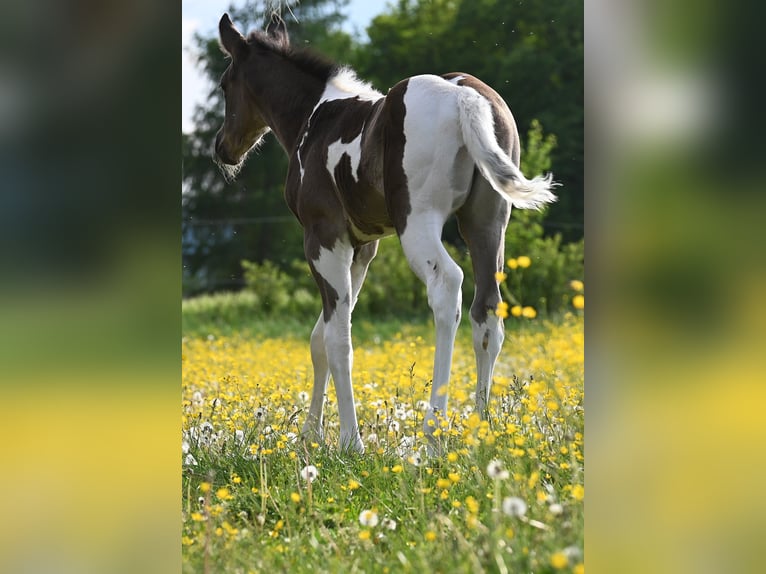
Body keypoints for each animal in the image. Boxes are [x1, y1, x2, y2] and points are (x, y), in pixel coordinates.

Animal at [214, 13, 557, 453]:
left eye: (225, 84)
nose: (223, 149)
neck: (315, 119)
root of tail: (465, 98)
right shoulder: (363, 248)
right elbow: (320, 337)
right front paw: (309, 435)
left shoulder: (323, 238)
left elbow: (338, 339)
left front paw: (349, 441)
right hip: (486, 224)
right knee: (487, 312)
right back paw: (482, 429)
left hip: (419, 222)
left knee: (447, 287)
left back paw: (433, 433)